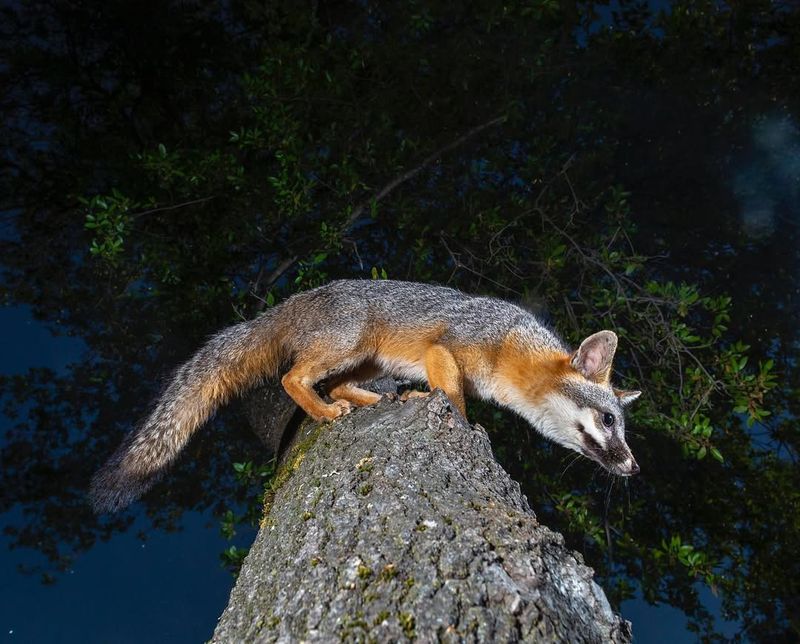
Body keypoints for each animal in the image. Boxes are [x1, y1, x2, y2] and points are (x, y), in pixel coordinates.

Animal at [90, 279, 641, 513]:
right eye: (608, 422)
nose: (634, 467)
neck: (514, 349)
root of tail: (294, 301)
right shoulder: (445, 348)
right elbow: (454, 394)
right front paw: (465, 424)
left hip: (370, 359)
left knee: (333, 382)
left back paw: (373, 401)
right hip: (351, 345)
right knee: (294, 379)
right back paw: (325, 410)